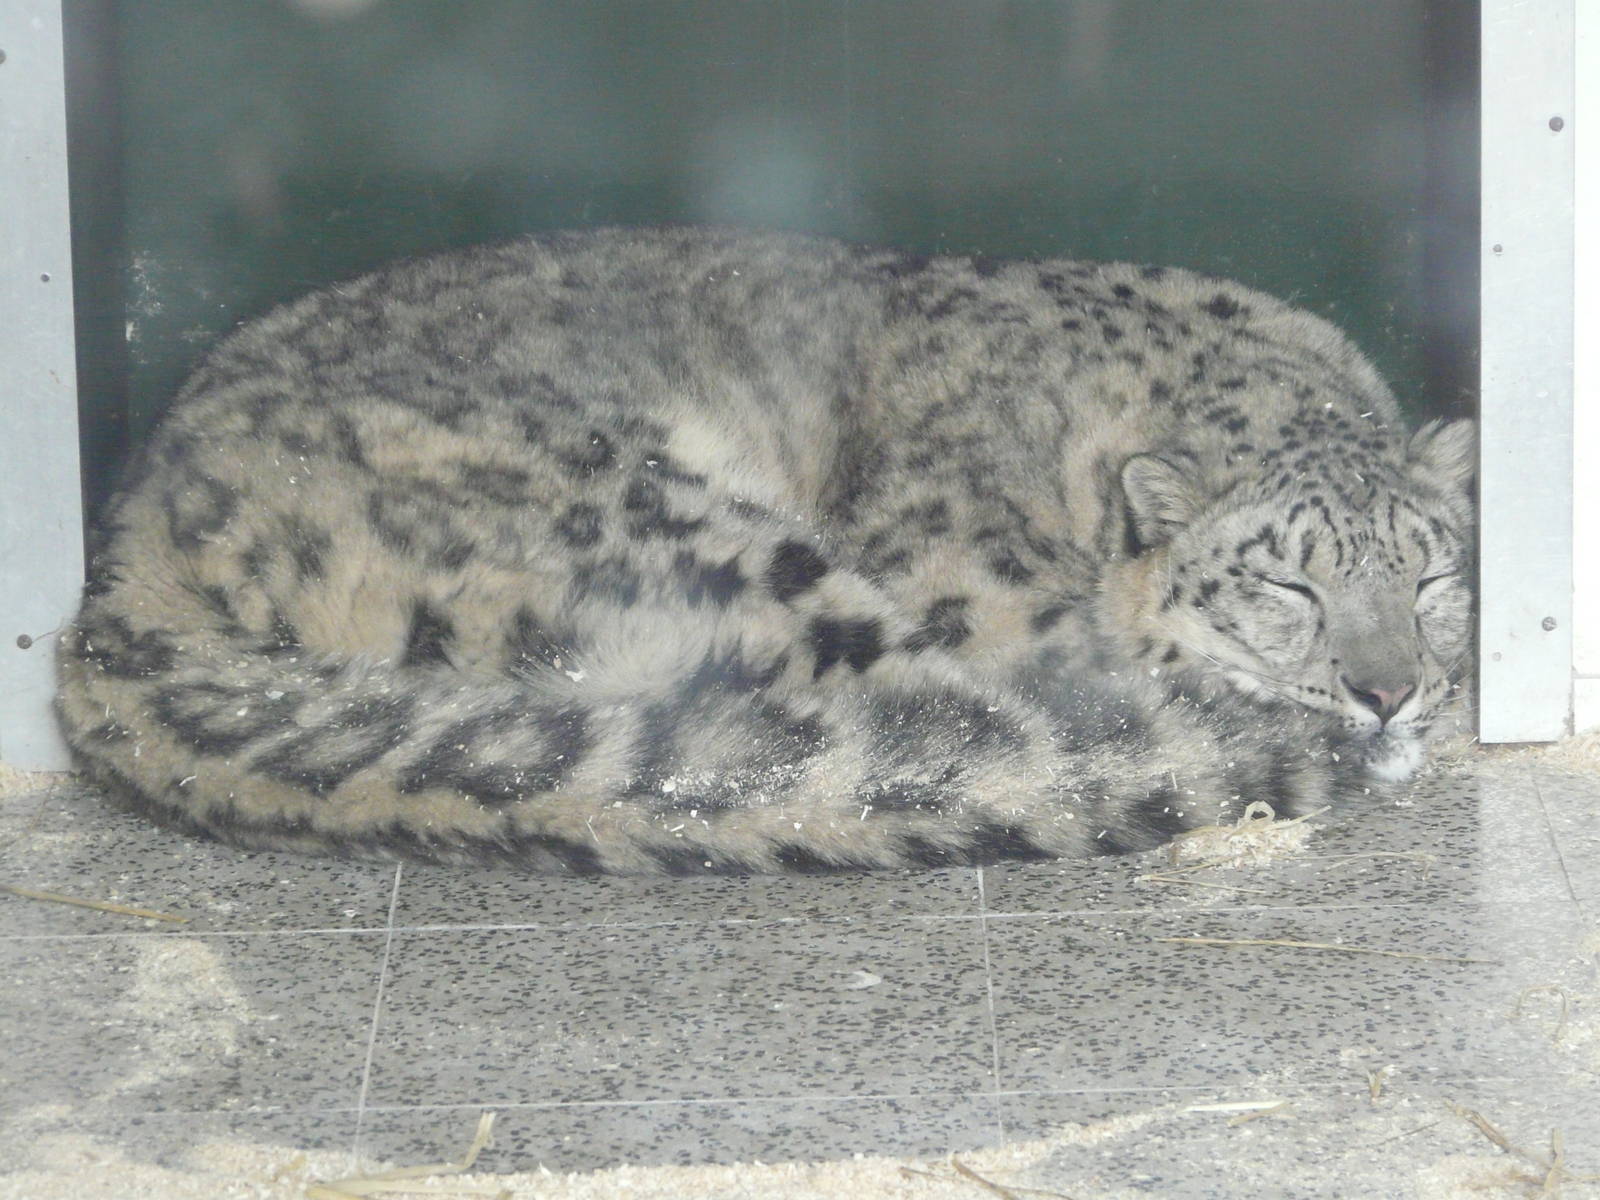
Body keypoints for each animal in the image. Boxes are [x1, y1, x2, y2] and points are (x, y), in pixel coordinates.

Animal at [55, 227, 1475, 874]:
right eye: (1283, 581)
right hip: (690, 526)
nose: (1386, 690)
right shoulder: (975, 581)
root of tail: (119, 562)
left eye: (1429, 574)